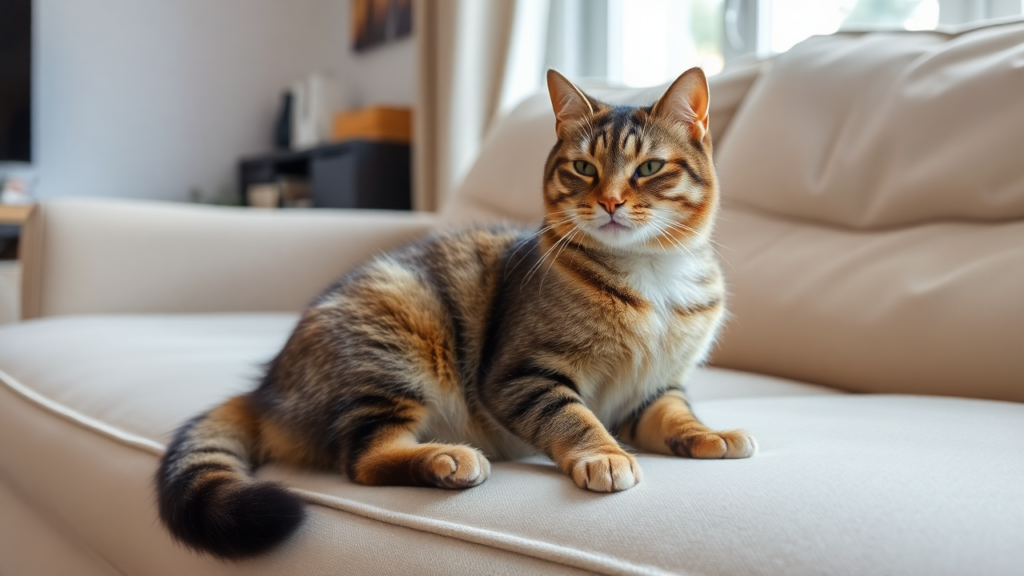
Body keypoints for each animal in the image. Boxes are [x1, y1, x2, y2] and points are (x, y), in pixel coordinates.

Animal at [155, 67, 757, 557]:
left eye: (650, 166)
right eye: (583, 168)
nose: (608, 201)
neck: (651, 277)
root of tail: (265, 388)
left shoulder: (656, 387)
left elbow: (676, 416)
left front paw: (709, 434)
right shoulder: (520, 376)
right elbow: (574, 417)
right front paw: (602, 455)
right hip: (394, 351)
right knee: (363, 460)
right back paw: (447, 459)